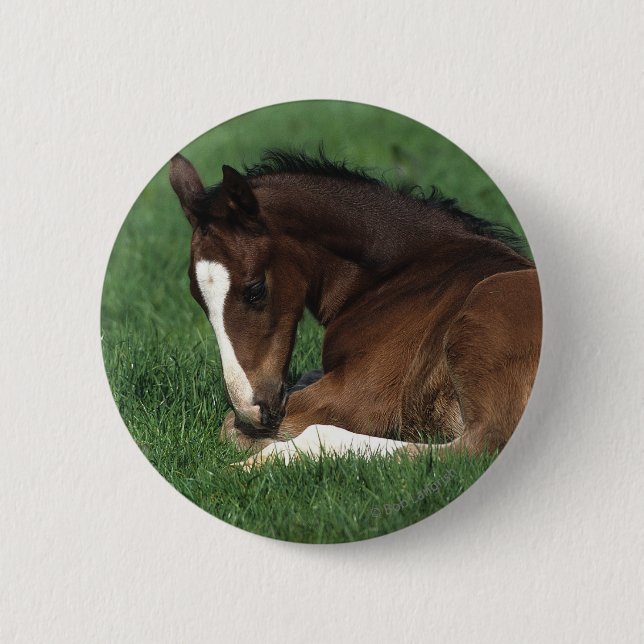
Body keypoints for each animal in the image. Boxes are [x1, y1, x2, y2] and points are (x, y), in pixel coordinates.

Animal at [169, 150, 542, 468]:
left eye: (255, 290)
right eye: (197, 297)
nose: (252, 410)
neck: (398, 275)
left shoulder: (365, 395)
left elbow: (229, 427)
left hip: (489, 306)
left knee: (479, 444)